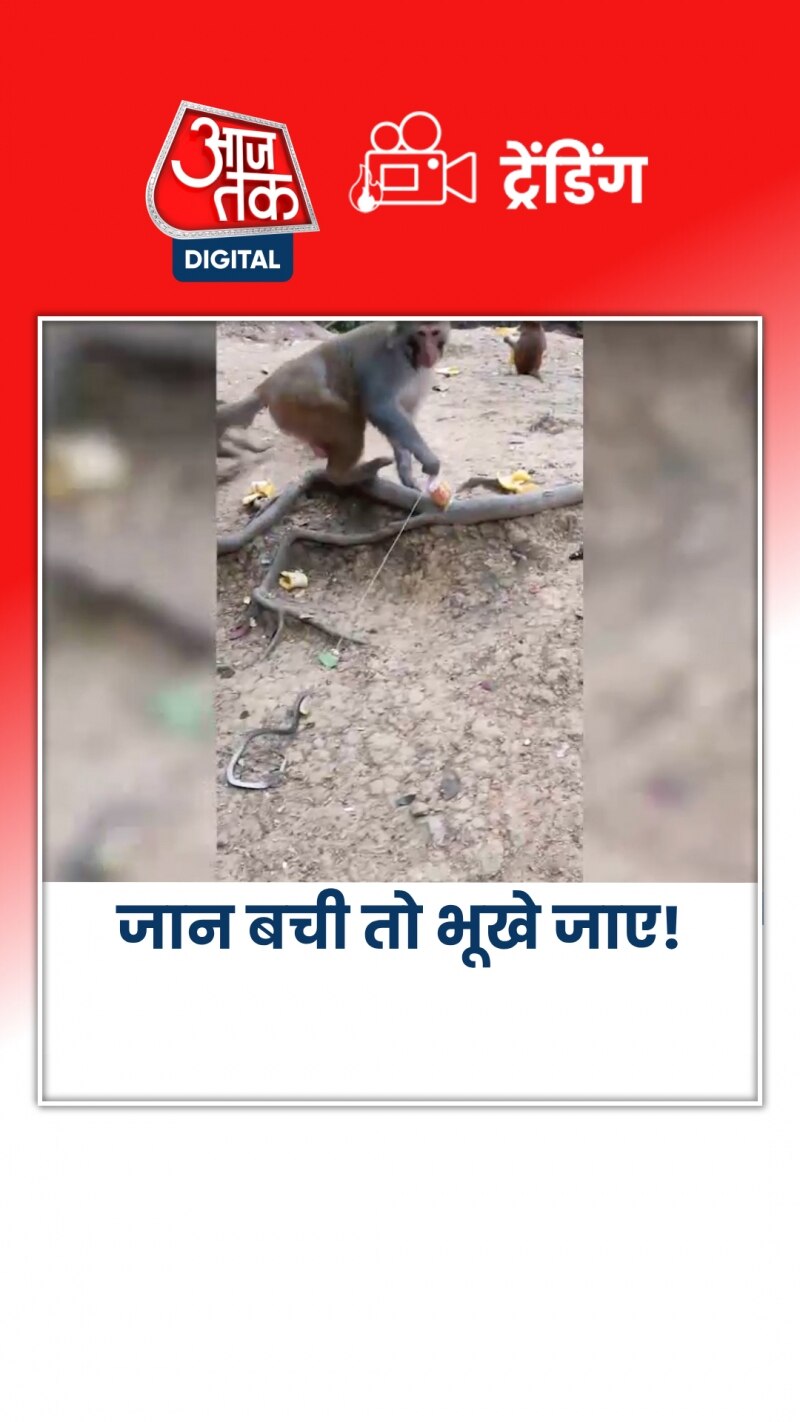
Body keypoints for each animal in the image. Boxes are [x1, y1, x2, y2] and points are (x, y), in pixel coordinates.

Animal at [215, 320, 450, 491]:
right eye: (422, 333)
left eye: (435, 333)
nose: (430, 351)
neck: (408, 353)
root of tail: (268, 385)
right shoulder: (390, 363)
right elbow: (381, 408)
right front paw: (430, 461)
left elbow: (404, 417)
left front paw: (406, 473)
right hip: (298, 402)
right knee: (349, 422)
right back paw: (343, 475)